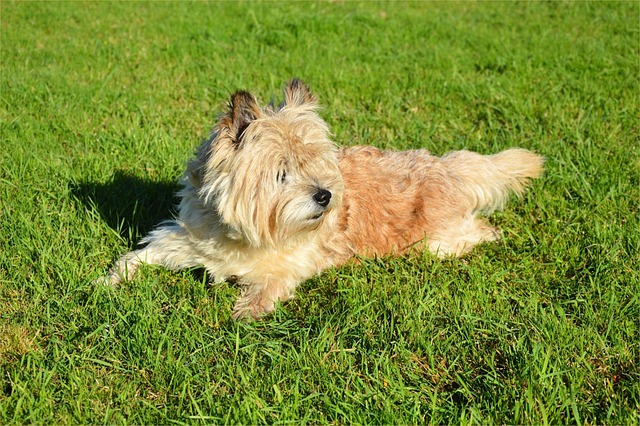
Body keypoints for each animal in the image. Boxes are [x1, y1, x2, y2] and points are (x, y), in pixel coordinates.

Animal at [97, 79, 544, 320]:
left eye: (318, 164)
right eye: (282, 173)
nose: (325, 195)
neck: (239, 235)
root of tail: (448, 167)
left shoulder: (286, 268)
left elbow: (263, 293)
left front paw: (242, 313)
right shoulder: (180, 240)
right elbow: (135, 258)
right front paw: (105, 283)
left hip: (437, 242)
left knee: (482, 230)